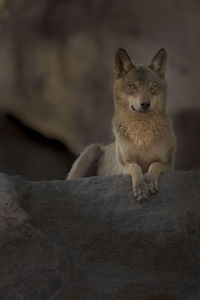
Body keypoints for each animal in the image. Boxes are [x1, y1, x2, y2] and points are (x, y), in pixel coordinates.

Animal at [67, 48, 177, 203]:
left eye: (153, 86)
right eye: (132, 86)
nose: (145, 104)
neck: (142, 133)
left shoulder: (169, 163)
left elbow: (154, 165)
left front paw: (149, 182)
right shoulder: (124, 164)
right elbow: (135, 167)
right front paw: (140, 189)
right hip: (92, 149)